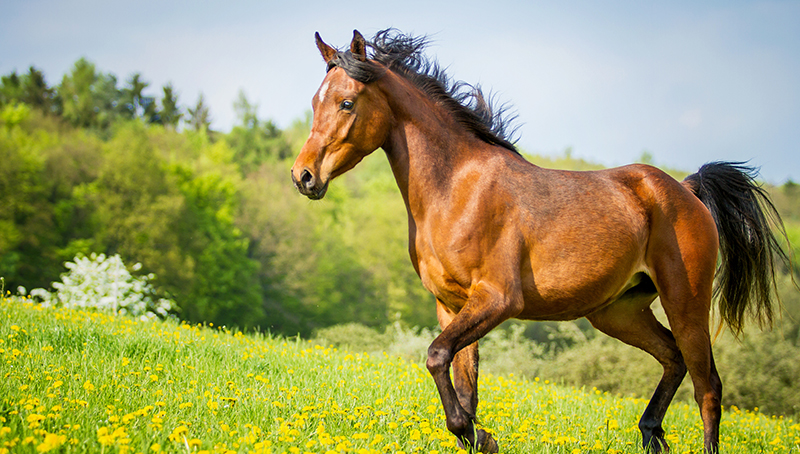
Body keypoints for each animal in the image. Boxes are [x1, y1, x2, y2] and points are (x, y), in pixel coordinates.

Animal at [290, 29, 792, 454]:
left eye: (347, 103)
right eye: (315, 102)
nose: (303, 176)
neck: (456, 188)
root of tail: (685, 191)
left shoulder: (497, 299)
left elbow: (436, 358)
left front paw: (481, 436)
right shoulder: (452, 305)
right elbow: (462, 383)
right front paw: (479, 437)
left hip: (685, 300)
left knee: (708, 387)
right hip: (619, 312)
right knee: (673, 359)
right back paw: (651, 434)